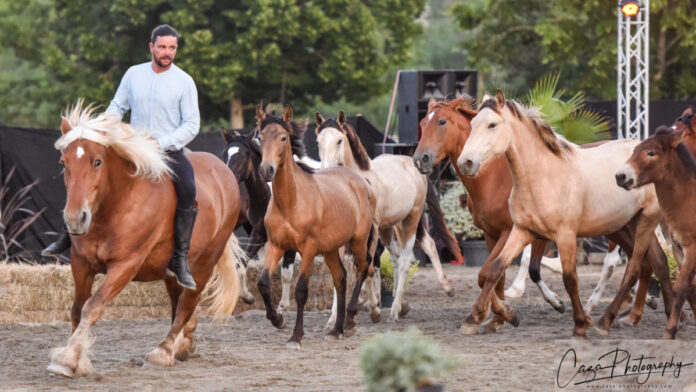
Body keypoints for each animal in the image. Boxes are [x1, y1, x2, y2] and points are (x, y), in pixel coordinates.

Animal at [47, 102, 243, 378]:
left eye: (97, 162)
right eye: (64, 163)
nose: (75, 219)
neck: (117, 204)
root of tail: (223, 170)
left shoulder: (125, 265)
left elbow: (92, 306)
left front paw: (67, 359)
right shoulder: (81, 263)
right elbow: (77, 309)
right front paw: (78, 358)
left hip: (206, 261)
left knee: (188, 302)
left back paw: (163, 351)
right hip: (174, 269)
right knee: (178, 300)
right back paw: (183, 344)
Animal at [254, 105, 376, 350]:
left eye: (283, 138)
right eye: (260, 137)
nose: (266, 170)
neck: (291, 201)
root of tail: (362, 183)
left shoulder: (308, 248)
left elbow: (301, 290)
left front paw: (295, 336)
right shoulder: (276, 245)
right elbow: (263, 283)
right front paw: (278, 320)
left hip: (358, 240)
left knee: (363, 268)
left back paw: (349, 322)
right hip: (330, 249)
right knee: (340, 277)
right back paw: (336, 330)